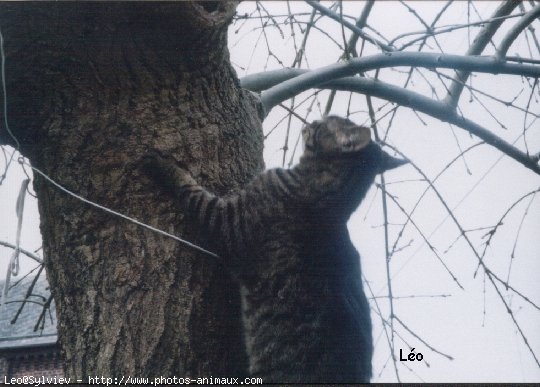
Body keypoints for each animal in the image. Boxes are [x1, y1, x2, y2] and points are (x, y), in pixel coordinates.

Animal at [141, 114, 408, 382]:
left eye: (328, 120)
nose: (314, 119)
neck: (329, 204)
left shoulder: (226, 221)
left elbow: (192, 190)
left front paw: (160, 164)